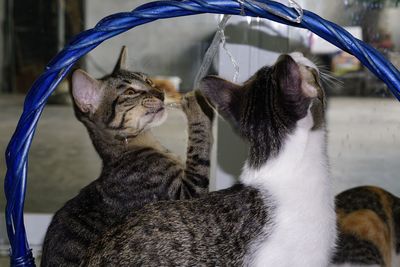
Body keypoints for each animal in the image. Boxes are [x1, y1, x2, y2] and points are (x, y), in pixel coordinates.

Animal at [40, 47, 214, 266]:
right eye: (130, 92)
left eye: (148, 81)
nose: (161, 93)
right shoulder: (185, 194)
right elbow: (199, 143)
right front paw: (196, 103)